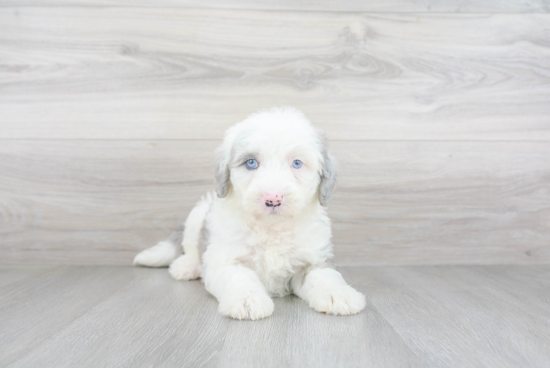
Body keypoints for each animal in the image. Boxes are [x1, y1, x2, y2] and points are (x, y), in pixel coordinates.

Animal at [133, 106, 366, 320]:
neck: (271, 229)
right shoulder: (224, 259)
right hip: (197, 215)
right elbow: (239, 276)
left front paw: (339, 294)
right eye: (251, 162)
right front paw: (247, 300)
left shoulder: (315, 258)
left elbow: (325, 275)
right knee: (191, 247)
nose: (273, 199)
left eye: (297, 163)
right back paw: (186, 266)